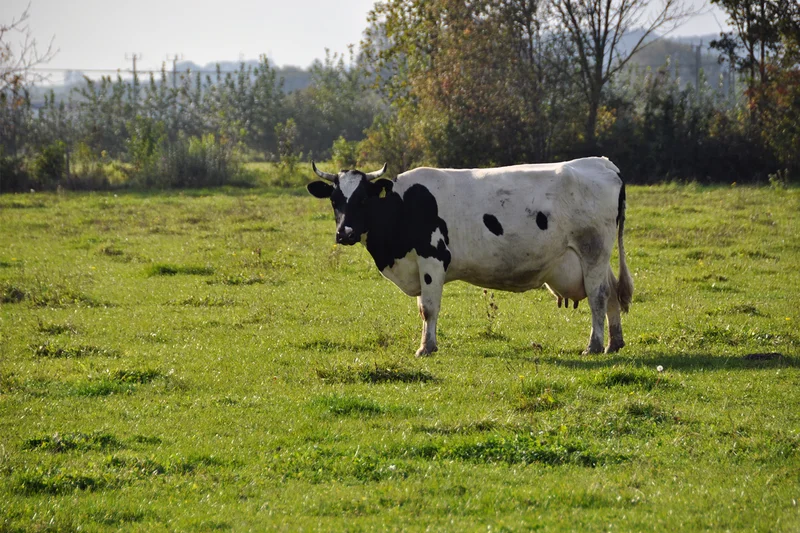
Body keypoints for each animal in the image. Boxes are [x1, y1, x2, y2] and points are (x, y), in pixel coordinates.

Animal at [306, 157, 633, 356]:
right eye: (334, 200)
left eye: (363, 199)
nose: (345, 233)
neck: (402, 206)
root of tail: (600, 163)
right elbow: (422, 308)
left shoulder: (432, 258)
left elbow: (429, 308)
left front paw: (426, 348)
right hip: (597, 258)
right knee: (612, 293)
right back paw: (614, 343)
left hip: (592, 251)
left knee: (598, 297)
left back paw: (594, 346)